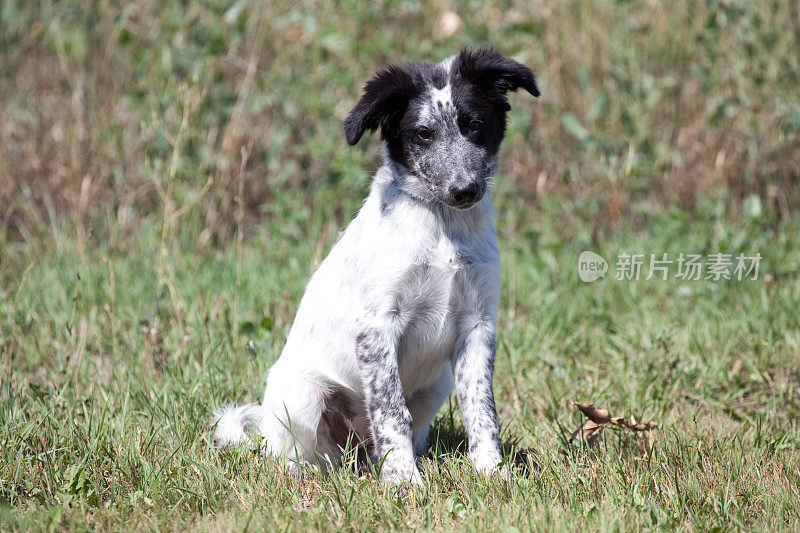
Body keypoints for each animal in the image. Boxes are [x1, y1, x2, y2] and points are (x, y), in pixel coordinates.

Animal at [214, 48, 536, 486]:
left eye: (474, 125)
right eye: (422, 134)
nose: (464, 190)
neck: (441, 225)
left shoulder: (478, 323)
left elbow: (482, 408)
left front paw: (492, 472)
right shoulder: (377, 326)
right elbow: (390, 411)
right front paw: (404, 483)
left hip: (435, 386)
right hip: (302, 397)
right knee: (293, 456)